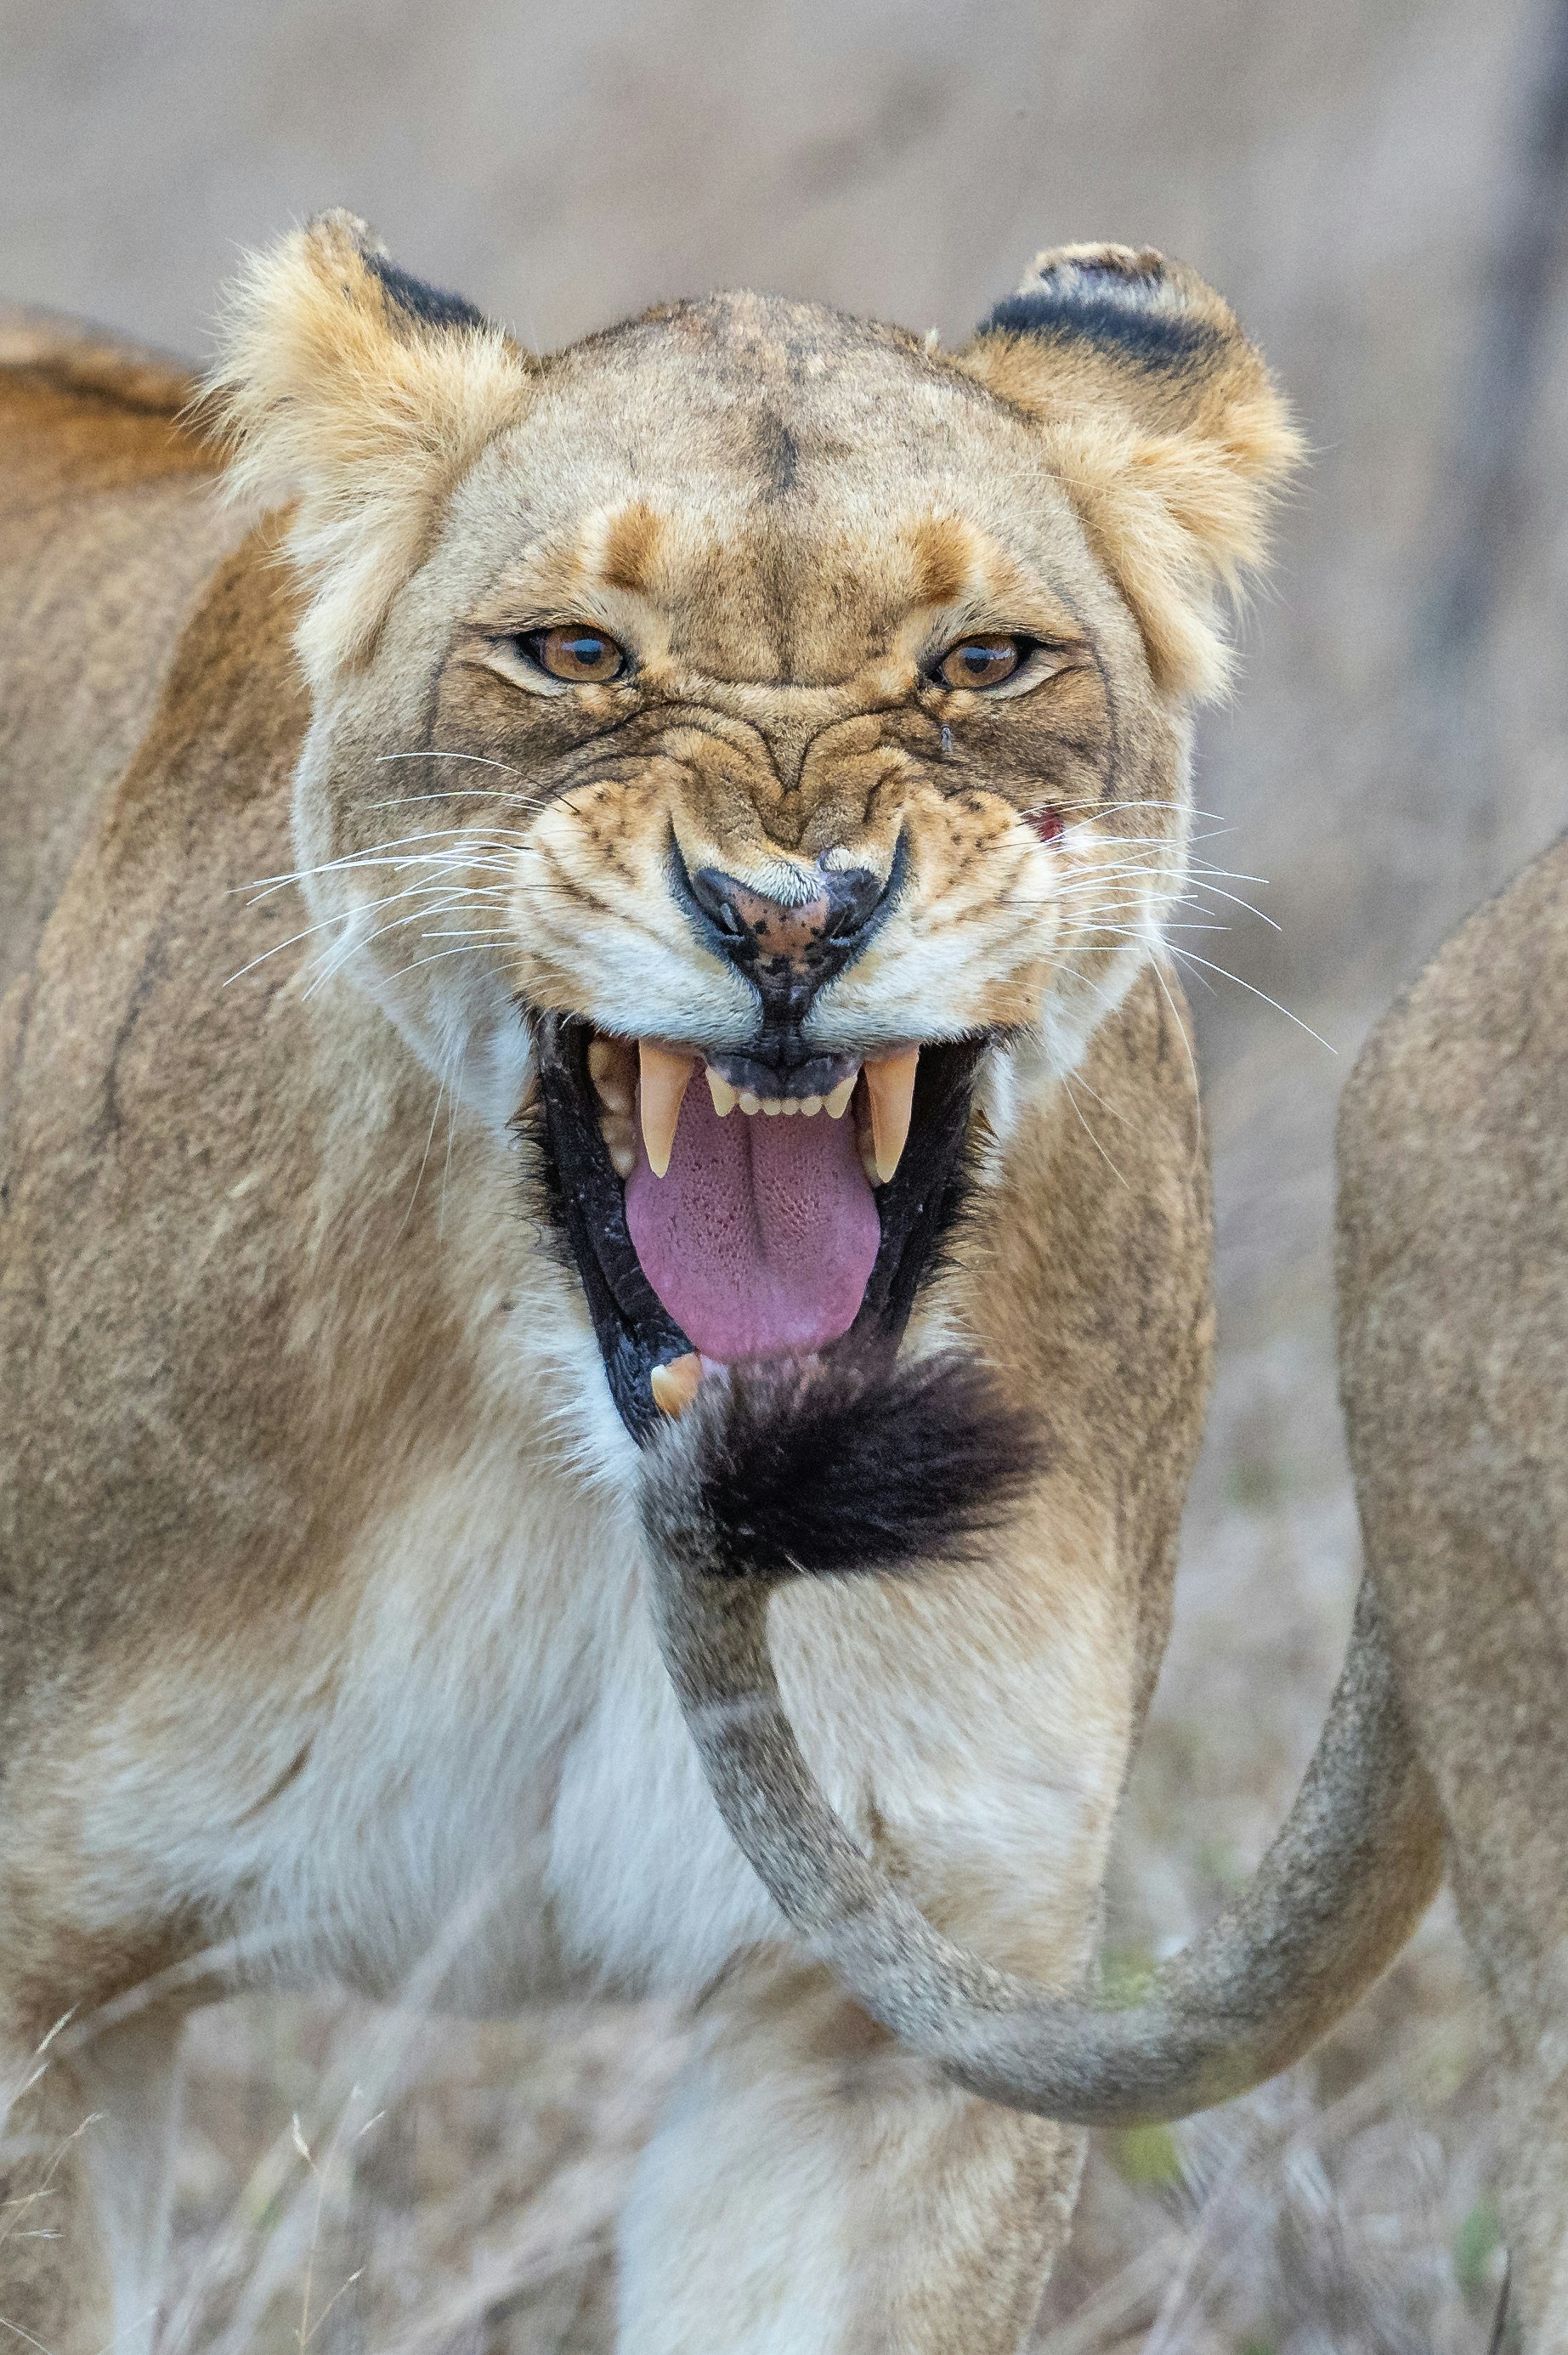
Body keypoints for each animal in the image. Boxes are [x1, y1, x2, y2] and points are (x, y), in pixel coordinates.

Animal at [0, 216, 1426, 2353]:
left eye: (982, 660)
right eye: (576, 652)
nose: (787, 917)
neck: (583, 1484)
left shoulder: (893, 2002)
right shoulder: (47, 1997)